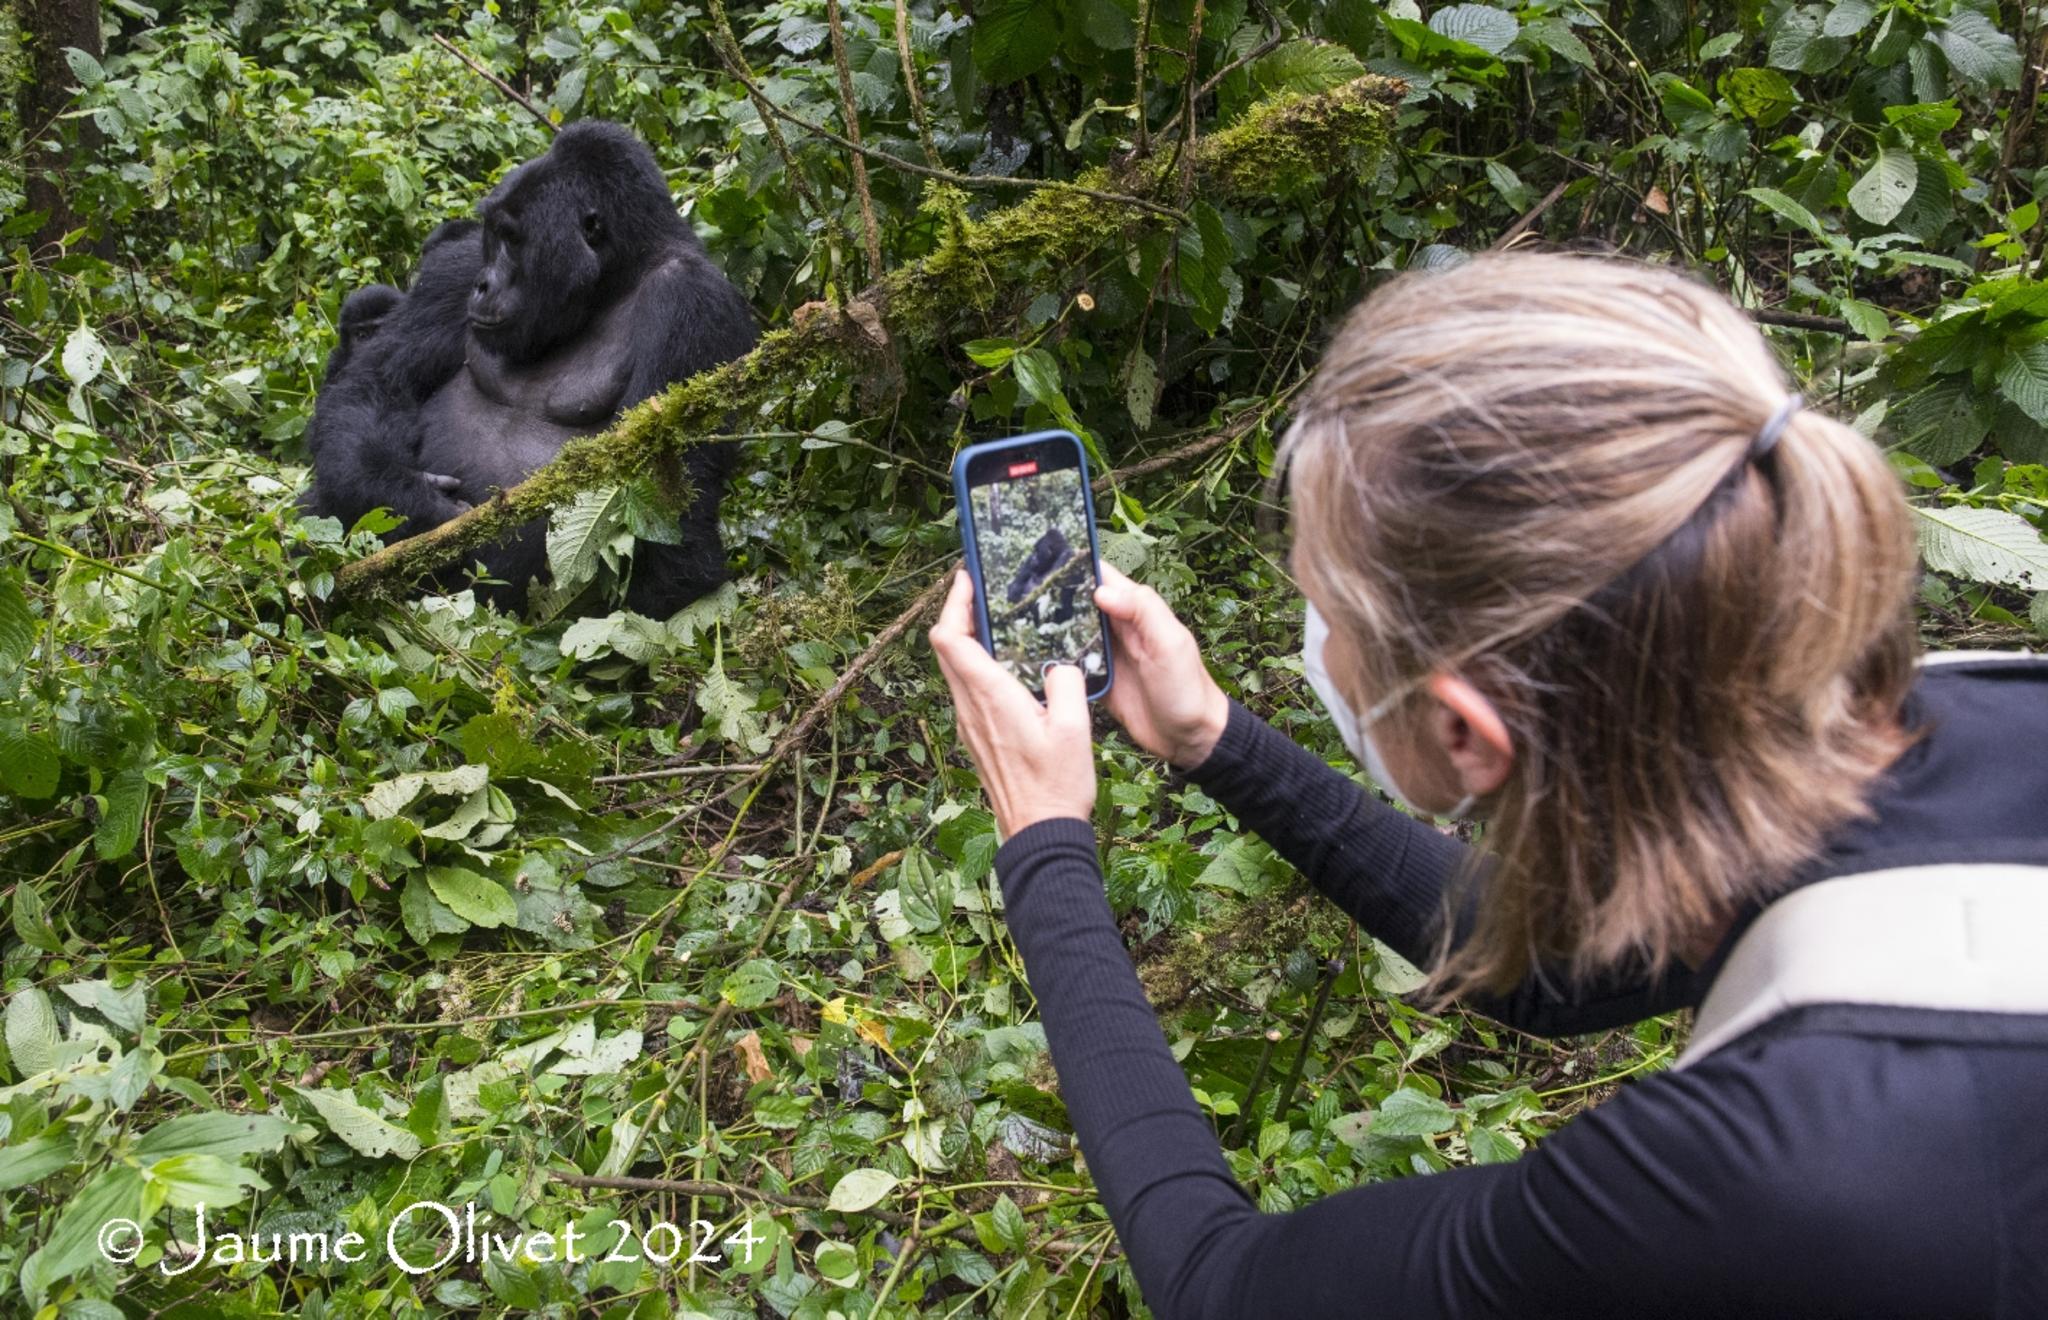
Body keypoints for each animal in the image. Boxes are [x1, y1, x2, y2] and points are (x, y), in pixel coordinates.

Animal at [311, 120, 770, 613]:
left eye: (513, 239)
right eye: (492, 236)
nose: (483, 284)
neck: (615, 278)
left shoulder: (693, 300)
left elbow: (661, 512)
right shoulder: (456, 265)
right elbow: (378, 382)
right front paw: (410, 501)